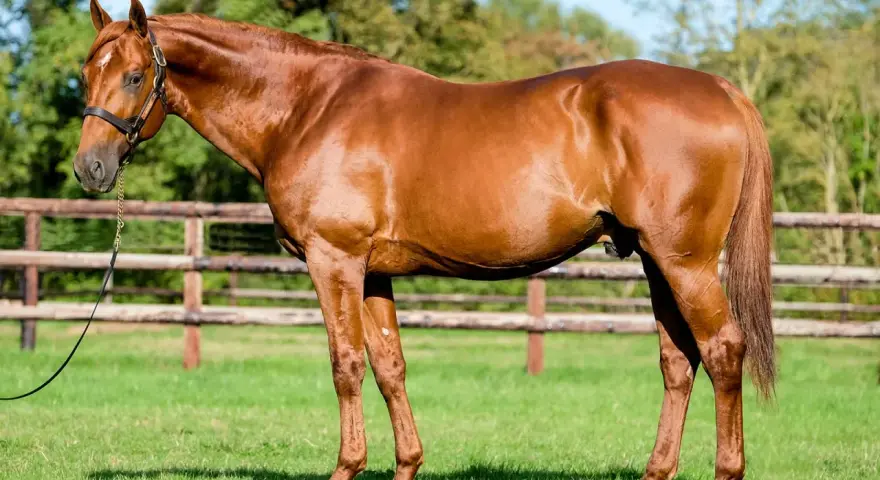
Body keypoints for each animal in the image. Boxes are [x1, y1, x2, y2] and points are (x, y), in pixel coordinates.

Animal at [75, 2, 776, 479]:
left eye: (134, 77)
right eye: (87, 73)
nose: (90, 169)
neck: (307, 108)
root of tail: (723, 90)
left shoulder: (335, 261)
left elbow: (346, 364)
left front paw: (347, 465)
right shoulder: (373, 272)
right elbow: (390, 367)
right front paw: (406, 461)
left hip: (684, 263)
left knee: (722, 350)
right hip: (658, 264)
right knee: (678, 363)